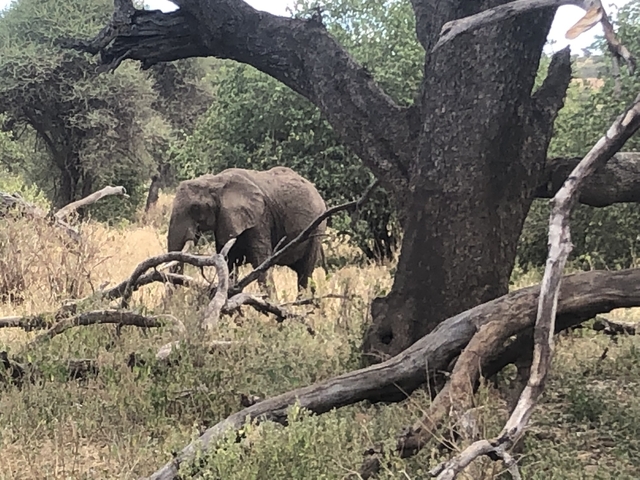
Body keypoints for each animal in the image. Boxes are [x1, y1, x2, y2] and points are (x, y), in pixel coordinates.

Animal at [167, 166, 327, 294]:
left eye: (195, 208)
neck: (216, 181)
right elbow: (228, 263)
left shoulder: (259, 219)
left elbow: (261, 263)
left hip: (316, 229)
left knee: (304, 274)